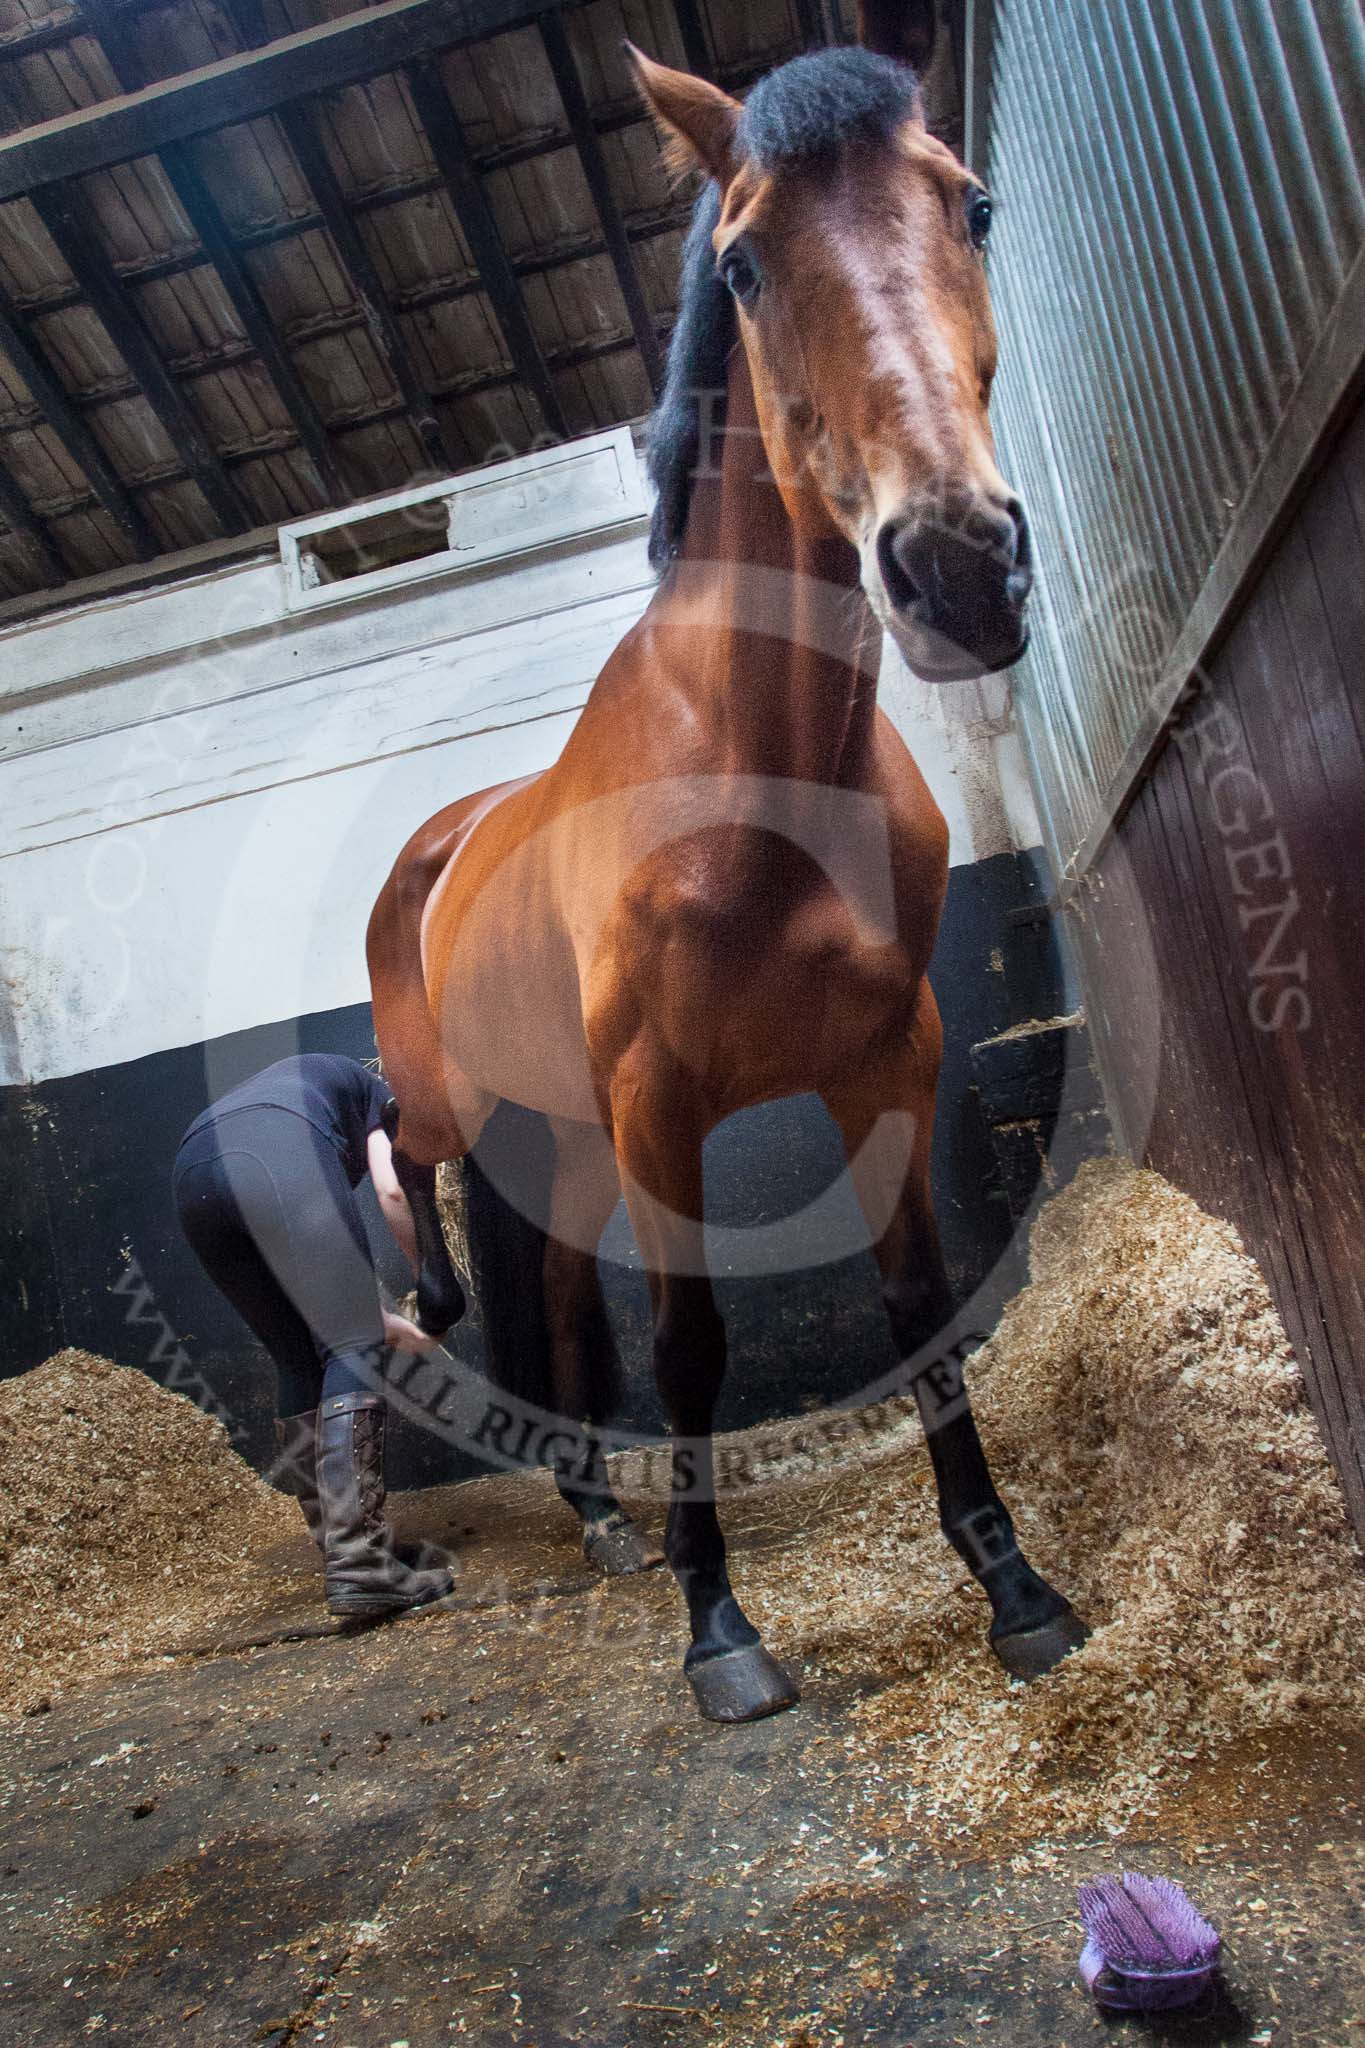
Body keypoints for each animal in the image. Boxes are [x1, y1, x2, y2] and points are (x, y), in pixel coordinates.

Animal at [366, 0, 1088, 1728]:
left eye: (971, 206)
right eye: (748, 263)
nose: (956, 565)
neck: (756, 758)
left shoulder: (889, 1063)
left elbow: (919, 1313)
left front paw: (1014, 1586)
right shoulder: (659, 1108)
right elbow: (690, 1344)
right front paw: (721, 1631)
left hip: (557, 1136)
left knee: (560, 1292)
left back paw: (593, 1513)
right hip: (478, 1109)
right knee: (426, 1187)